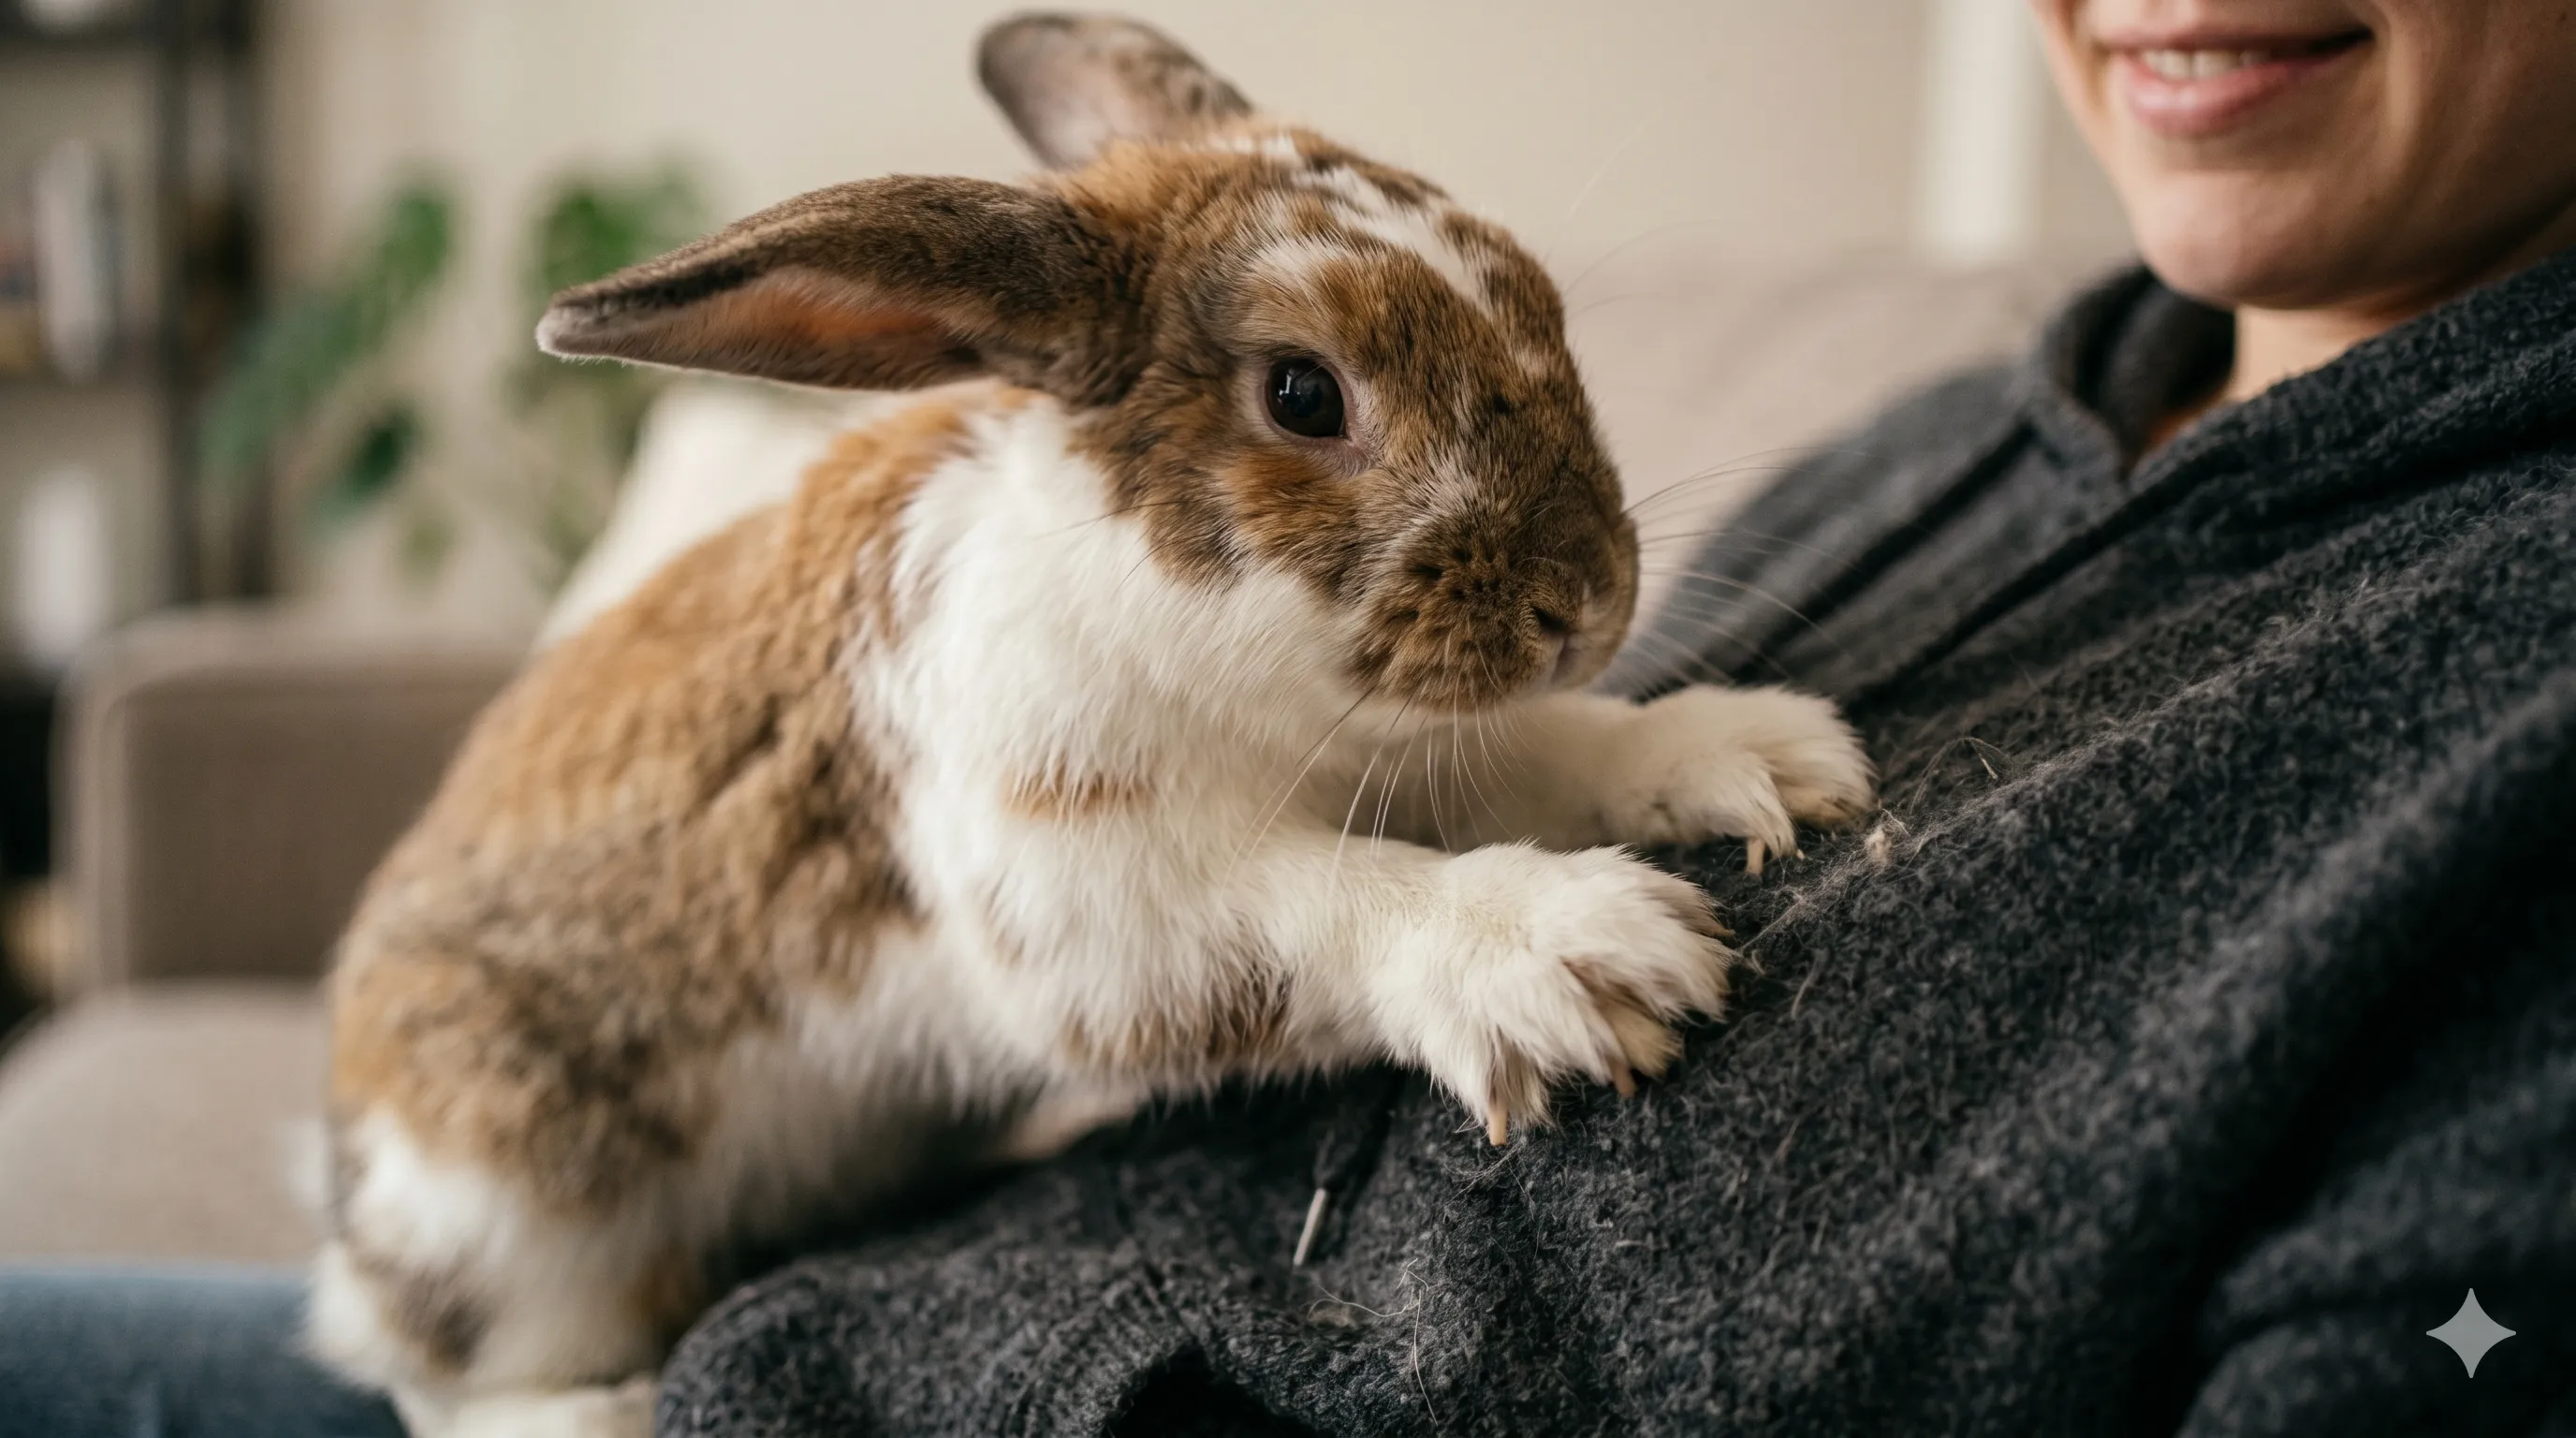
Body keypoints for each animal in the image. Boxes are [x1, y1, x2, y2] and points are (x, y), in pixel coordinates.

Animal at [308, 13, 1875, 1436]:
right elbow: (1328, 900)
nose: (1587, 601)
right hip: (510, 1211)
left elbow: (1548, 756)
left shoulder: (1410, 756)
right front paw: (1576, 957)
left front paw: (1757, 759)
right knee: (440, 1380)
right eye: (1303, 393)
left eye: (1543, 300)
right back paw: (588, 1414)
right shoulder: (1103, 901)